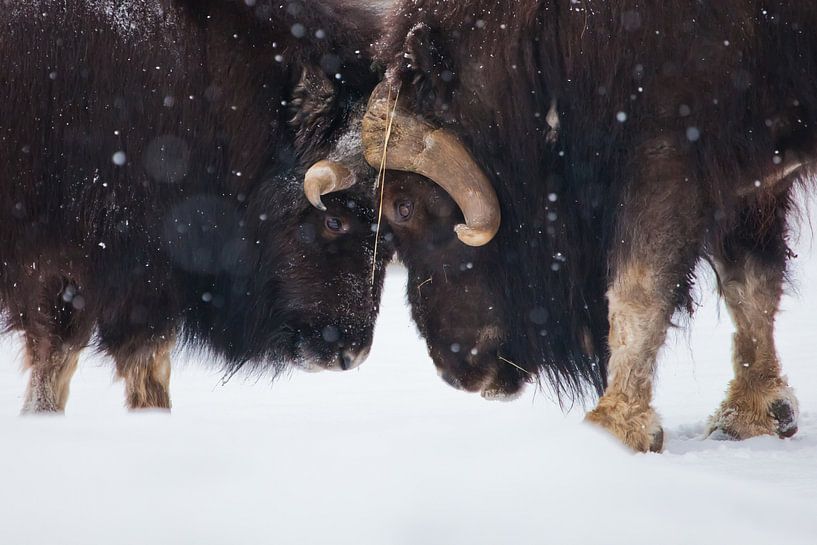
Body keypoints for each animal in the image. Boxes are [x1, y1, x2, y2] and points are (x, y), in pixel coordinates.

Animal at [342, 0, 817, 452]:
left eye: (403, 206)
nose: (454, 370)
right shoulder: (749, 175)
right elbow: (749, 282)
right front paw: (754, 411)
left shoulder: (669, 152)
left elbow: (639, 288)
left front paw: (614, 426)